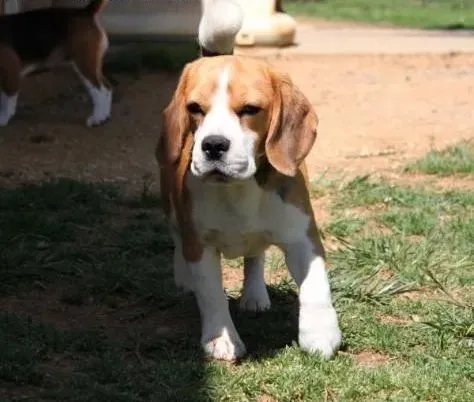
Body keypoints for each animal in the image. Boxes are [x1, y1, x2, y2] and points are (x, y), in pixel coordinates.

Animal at [157, 1, 342, 362]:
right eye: (194, 108)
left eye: (250, 109)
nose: (213, 145)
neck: (237, 190)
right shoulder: (200, 245)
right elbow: (211, 295)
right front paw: (221, 338)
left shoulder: (303, 236)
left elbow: (316, 286)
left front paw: (320, 334)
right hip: (170, 207)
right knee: (177, 239)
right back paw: (183, 278)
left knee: (255, 254)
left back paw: (255, 294)